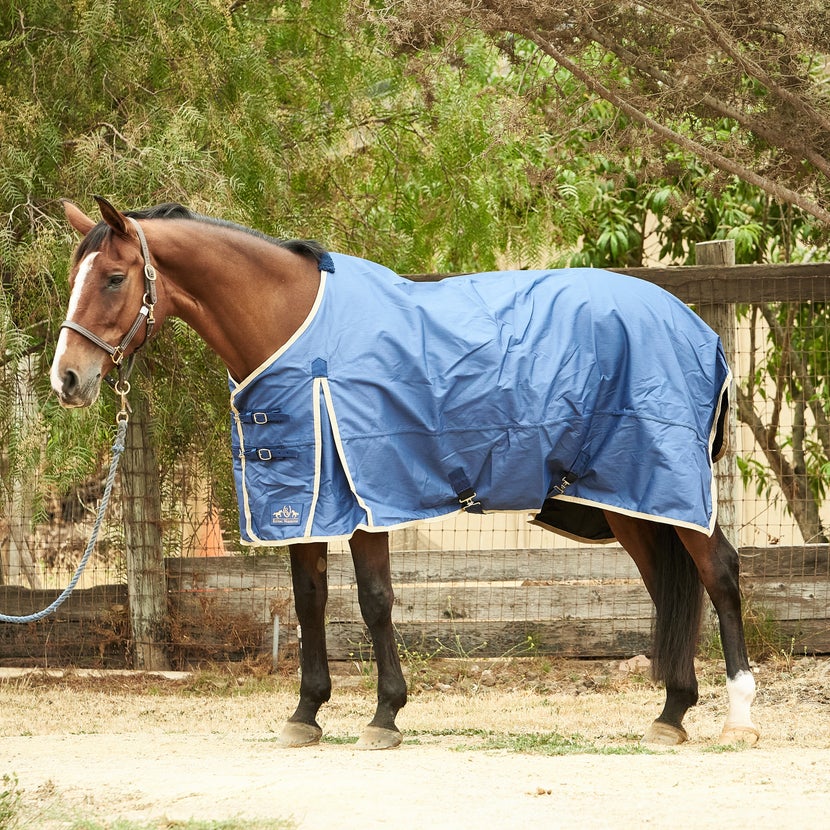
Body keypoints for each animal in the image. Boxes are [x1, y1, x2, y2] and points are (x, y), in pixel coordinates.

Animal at [47, 198, 760, 752]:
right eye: (75, 277)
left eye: (113, 277)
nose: (67, 379)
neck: (298, 331)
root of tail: (694, 326)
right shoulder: (305, 498)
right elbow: (309, 601)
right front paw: (306, 713)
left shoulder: (370, 491)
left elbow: (374, 600)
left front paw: (384, 715)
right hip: (629, 500)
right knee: (669, 585)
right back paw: (671, 714)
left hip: (667, 486)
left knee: (719, 572)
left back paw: (740, 716)